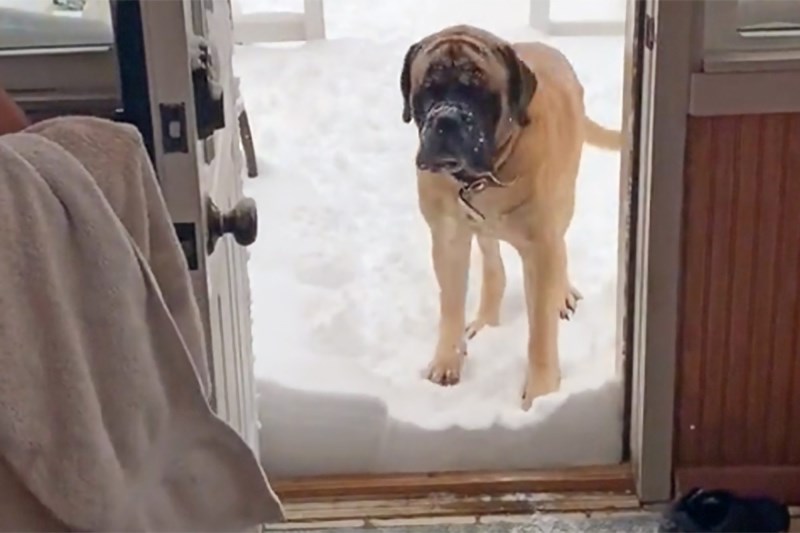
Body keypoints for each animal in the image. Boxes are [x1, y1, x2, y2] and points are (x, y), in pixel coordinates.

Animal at [404, 22, 620, 410]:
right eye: (428, 86)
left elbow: (541, 331)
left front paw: (541, 392)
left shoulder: (539, 243)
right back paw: (486, 319)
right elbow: (450, 304)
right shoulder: (447, 237)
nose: (446, 120)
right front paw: (446, 361)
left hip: (563, 198)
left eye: (478, 88)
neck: (481, 178)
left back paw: (561, 292)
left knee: (560, 246)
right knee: (493, 263)